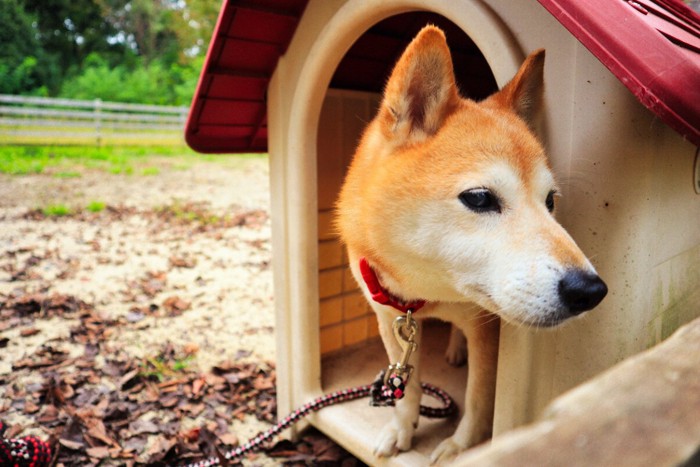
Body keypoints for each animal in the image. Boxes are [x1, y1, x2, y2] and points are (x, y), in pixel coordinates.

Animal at [334, 26, 608, 464]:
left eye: (550, 201)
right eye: (480, 198)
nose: (591, 290)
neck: (423, 296)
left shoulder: (488, 332)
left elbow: (480, 397)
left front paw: (462, 447)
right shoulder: (389, 320)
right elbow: (407, 388)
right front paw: (400, 430)